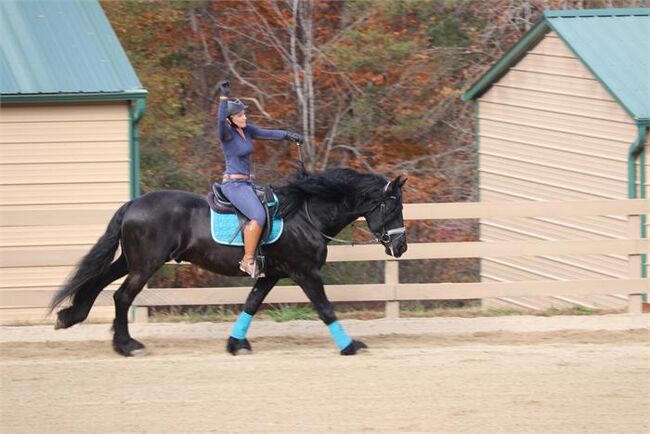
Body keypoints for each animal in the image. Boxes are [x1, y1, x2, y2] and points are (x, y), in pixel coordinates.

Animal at [49, 168, 404, 354]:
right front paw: (350, 345)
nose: (400, 246)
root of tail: (134, 203)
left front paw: (236, 343)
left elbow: (251, 304)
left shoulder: (271, 275)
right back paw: (126, 344)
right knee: (122, 297)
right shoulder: (305, 272)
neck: (306, 215)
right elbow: (325, 308)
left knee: (97, 282)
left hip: (131, 261)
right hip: (145, 264)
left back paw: (71, 317)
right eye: (393, 207)